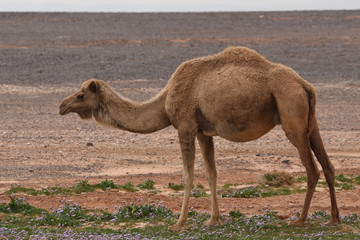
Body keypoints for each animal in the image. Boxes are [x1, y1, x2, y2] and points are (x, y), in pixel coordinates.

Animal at [59, 46, 340, 231]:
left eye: (81, 95)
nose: (62, 105)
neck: (164, 101)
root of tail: (305, 85)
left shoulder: (185, 126)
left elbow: (188, 176)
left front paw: (179, 222)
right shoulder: (204, 132)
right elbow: (211, 174)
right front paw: (213, 219)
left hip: (292, 117)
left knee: (312, 169)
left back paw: (300, 220)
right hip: (310, 123)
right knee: (328, 165)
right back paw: (334, 218)